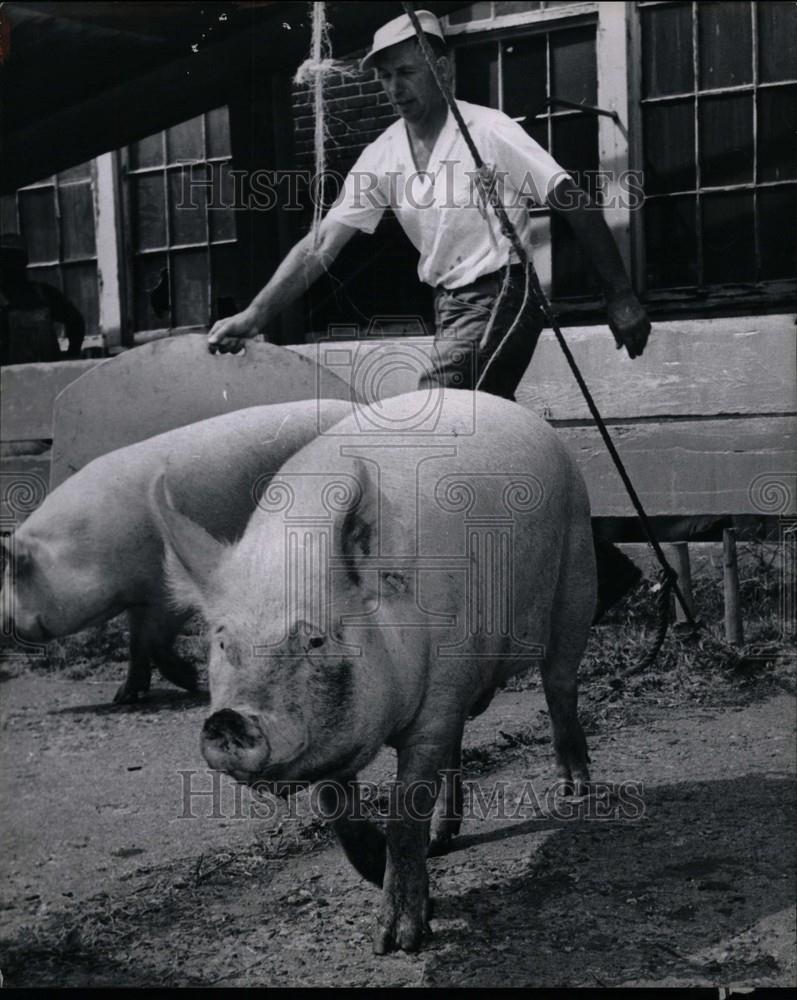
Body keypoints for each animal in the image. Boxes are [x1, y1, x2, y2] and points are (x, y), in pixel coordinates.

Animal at [2, 398, 352, 704]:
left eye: (19, 572)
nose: (3, 622)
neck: (94, 550)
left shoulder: (164, 590)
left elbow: (153, 641)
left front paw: (193, 682)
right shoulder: (138, 598)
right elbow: (136, 645)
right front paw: (123, 697)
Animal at [152, 388, 592, 952]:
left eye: (315, 638)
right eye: (223, 640)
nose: (227, 719)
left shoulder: (435, 701)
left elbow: (407, 809)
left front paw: (398, 940)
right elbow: (337, 812)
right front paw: (395, 878)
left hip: (577, 573)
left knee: (560, 686)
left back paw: (577, 792)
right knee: (459, 746)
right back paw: (445, 839)